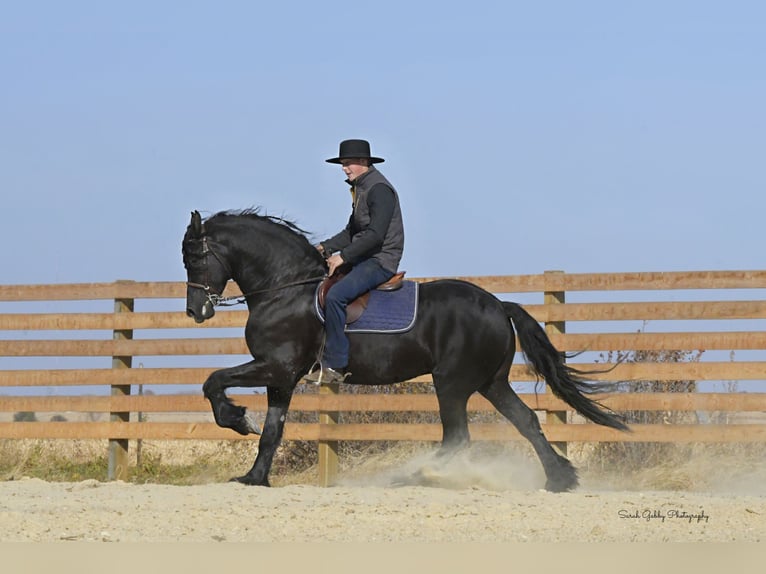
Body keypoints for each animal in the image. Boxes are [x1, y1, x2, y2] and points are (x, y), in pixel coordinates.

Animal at [183, 209, 628, 492]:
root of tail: (498, 305)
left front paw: (237, 419)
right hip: (490, 383)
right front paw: (254, 478)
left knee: (458, 437)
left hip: (451, 384)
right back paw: (559, 480)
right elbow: (271, 432)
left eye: (195, 257)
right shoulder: (283, 378)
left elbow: (213, 382)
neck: (286, 289)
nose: (196, 311)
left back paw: (412, 476)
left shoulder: (275, 367)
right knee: (526, 422)